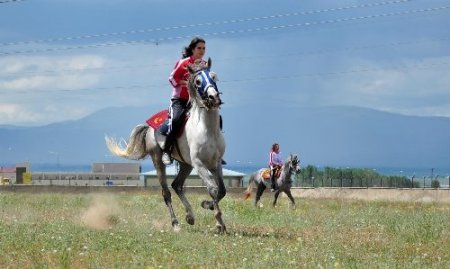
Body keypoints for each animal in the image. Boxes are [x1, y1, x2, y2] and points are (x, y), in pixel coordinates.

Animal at [104, 58, 225, 230]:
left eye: (214, 77)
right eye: (197, 81)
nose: (213, 97)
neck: (207, 129)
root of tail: (149, 127)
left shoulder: (216, 162)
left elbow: (221, 190)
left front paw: (216, 217)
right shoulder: (199, 164)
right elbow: (213, 189)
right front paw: (213, 213)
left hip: (185, 164)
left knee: (177, 185)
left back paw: (190, 216)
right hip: (158, 159)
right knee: (166, 191)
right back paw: (175, 223)